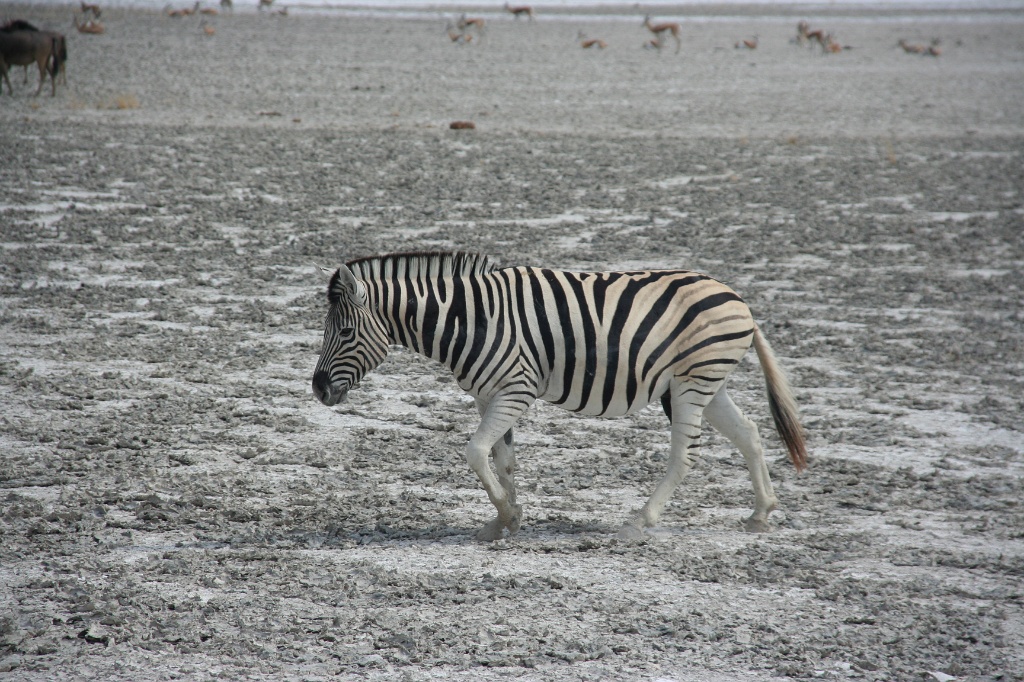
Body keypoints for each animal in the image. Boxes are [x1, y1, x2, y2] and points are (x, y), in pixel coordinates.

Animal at [307, 250, 802, 540]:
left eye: (345, 332)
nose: (317, 388)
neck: (468, 320)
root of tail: (737, 298)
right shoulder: (489, 395)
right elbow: (501, 458)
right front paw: (505, 518)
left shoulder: (516, 390)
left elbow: (474, 451)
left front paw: (506, 515)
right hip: (705, 384)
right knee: (749, 433)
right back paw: (761, 513)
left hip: (691, 382)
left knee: (685, 454)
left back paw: (640, 522)